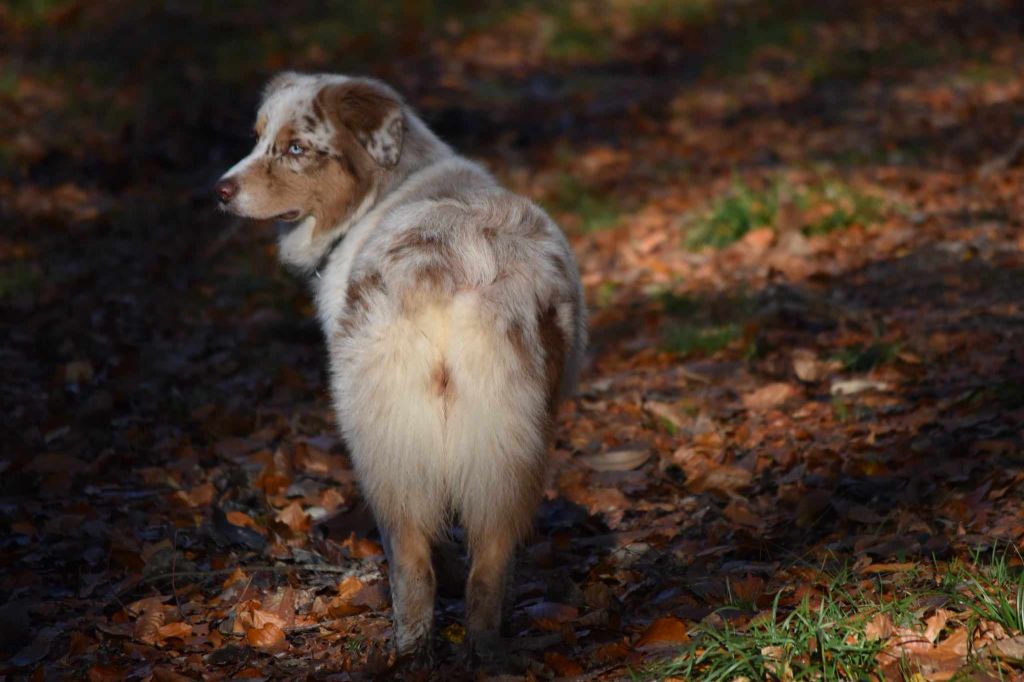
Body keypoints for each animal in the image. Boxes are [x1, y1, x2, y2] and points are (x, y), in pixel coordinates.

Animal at [216, 74, 585, 663]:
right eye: (257, 137)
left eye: (295, 148)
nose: (221, 191)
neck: (392, 185)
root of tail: (454, 271)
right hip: (508, 444)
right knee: (488, 564)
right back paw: (484, 650)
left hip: (381, 443)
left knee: (412, 561)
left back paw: (408, 651)